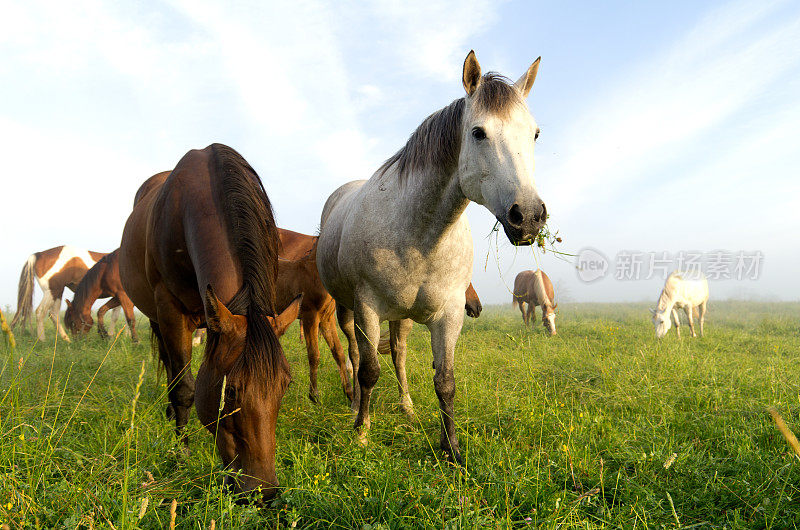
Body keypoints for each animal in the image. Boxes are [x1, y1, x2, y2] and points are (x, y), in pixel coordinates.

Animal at [119, 147, 294, 500]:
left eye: (285, 386)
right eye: (232, 392)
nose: (263, 493)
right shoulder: (170, 309)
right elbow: (184, 389)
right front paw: (181, 454)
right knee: (171, 369)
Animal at [276, 229, 354, 402]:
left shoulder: (327, 320)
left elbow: (338, 352)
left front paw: (349, 393)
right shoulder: (310, 317)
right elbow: (314, 354)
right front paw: (314, 395)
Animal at [316, 50, 548, 462]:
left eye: (534, 133)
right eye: (478, 133)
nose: (530, 216)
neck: (419, 234)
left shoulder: (449, 314)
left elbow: (445, 380)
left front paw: (451, 448)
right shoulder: (367, 307)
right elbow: (369, 370)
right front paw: (362, 431)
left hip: (402, 317)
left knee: (399, 355)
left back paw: (407, 407)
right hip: (347, 309)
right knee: (357, 357)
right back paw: (357, 406)